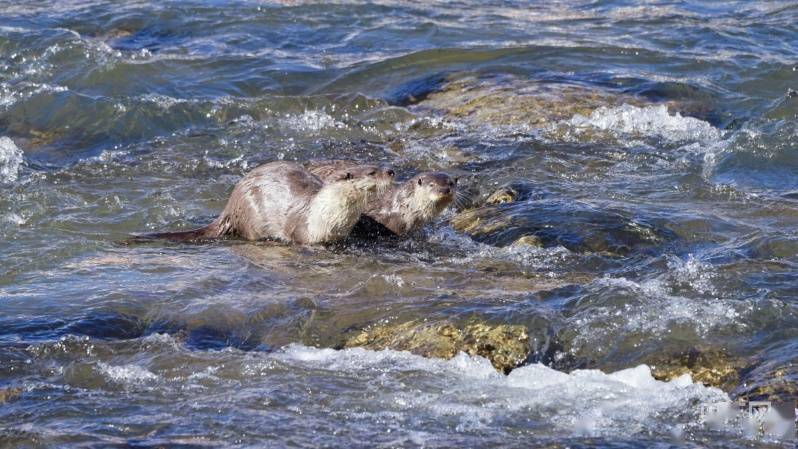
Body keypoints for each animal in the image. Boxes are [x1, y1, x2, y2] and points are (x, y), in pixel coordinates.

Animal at [143, 161, 396, 243]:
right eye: (372, 172)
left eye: (379, 166)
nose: (391, 171)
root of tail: (231, 204)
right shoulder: (304, 230)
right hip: (251, 214)